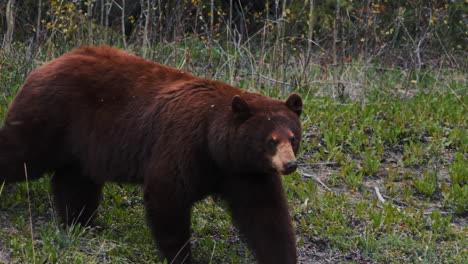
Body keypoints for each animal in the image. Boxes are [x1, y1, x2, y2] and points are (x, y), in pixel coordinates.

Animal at [0, 46, 304, 262]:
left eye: (293, 137)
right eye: (271, 140)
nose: (290, 164)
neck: (216, 146)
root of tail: (47, 64)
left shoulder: (246, 171)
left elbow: (266, 215)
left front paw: (282, 256)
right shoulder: (185, 143)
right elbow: (167, 193)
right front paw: (182, 256)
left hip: (82, 141)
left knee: (76, 180)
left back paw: (83, 223)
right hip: (51, 116)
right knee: (21, 154)